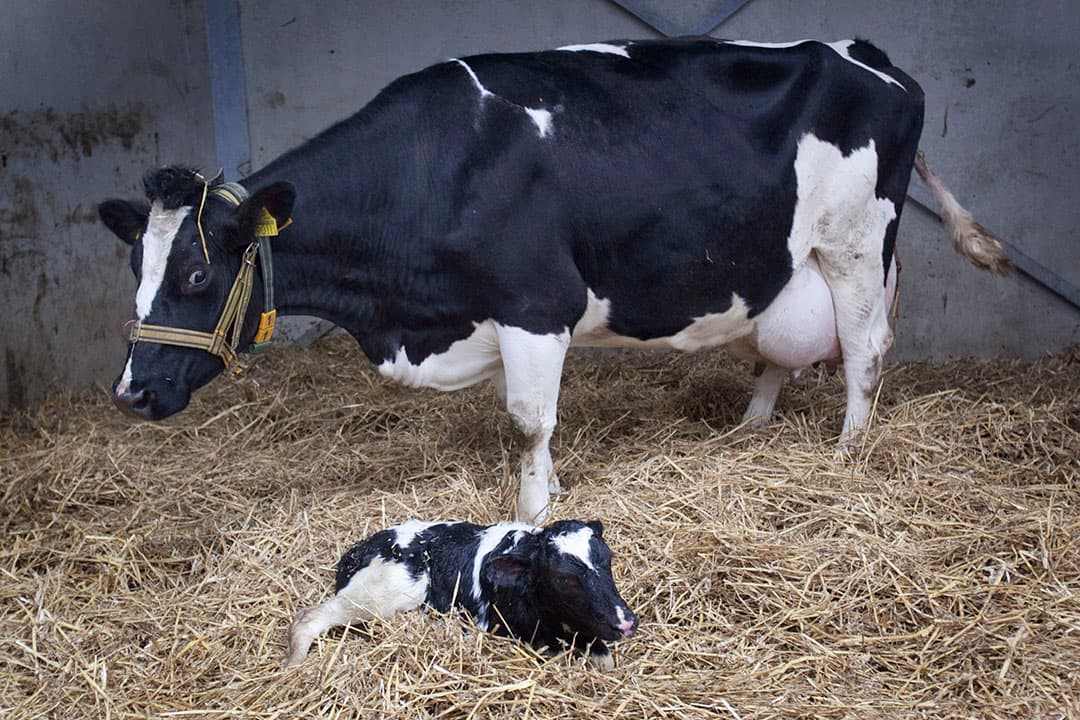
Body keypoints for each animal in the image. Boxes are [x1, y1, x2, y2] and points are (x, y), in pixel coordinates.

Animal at [97, 38, 1008, 523]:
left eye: (193, 271)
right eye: (137, 267)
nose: (131, 392)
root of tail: (868, 53)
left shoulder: (536, 302)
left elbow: (529, 420)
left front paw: (533, 512)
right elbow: (535, 421)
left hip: (855, 243)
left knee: (866, 350)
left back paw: (850, 454)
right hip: (784, 264)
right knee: (781, 351)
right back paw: (749, 430)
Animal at [284, 519, 638, 671]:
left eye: (608, 560)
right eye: (564, 578)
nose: (625, 623)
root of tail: (357, 552)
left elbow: (604, 658)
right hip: (371, 598)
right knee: (308, 616)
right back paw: (294, 663)